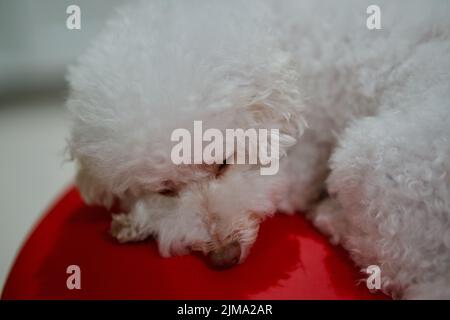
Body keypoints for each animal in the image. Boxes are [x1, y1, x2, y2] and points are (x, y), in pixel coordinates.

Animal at [67, 0, 450, 300]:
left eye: (223, 163)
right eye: (165, 189)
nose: (224, 256)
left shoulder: (301, 161)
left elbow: (277, 189)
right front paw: (133, 220)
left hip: (367, 161)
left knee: (387, 264)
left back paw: (328, 215)